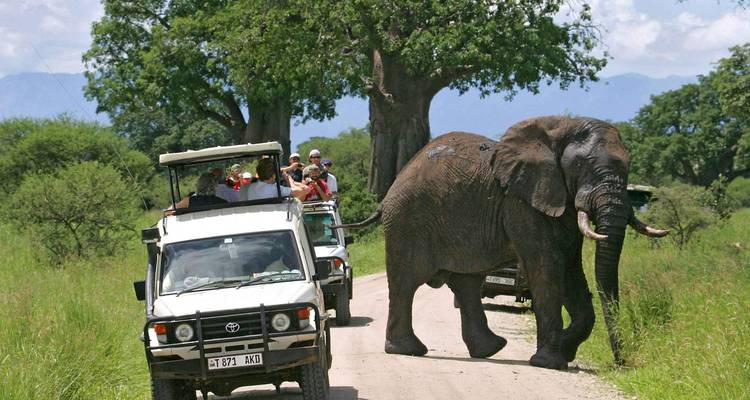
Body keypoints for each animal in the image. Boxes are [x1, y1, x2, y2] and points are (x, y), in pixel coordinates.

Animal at [338, 116, 667, 370]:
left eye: (629, 165)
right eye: (582, 166)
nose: (621, 363)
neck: (560, 128)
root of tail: (389, 192)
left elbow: (572, 269)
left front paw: (564, 350)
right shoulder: (520, 202)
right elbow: (547, 268)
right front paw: (550, 362)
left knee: (467, 284)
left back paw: (490, 349)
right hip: (408, 222)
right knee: (407, 282)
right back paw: (408, 350)